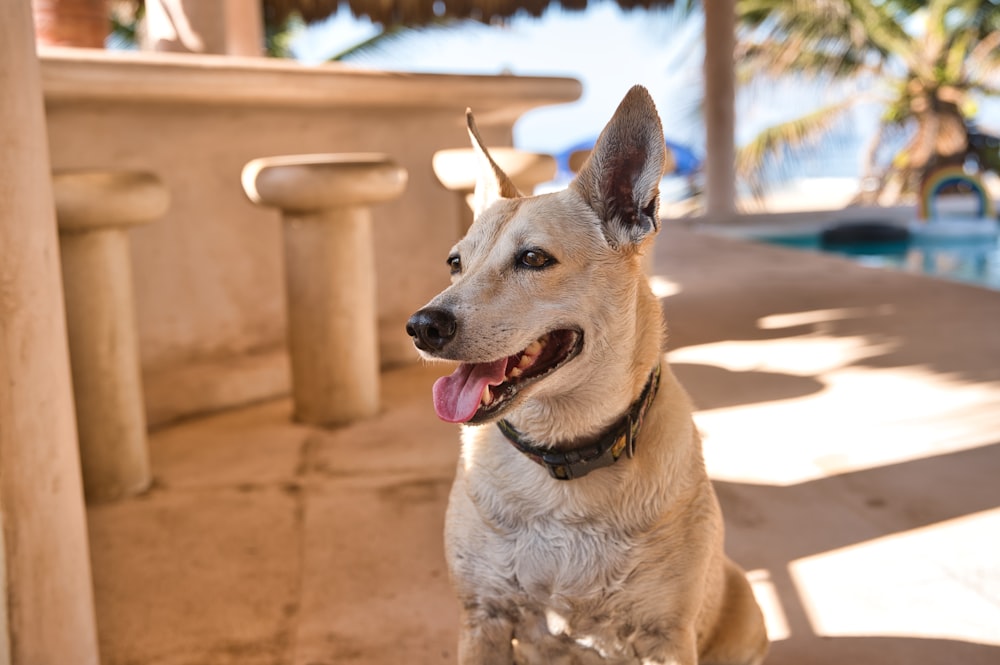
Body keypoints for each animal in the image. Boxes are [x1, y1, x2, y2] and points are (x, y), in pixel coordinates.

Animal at [404, 85, 764, 660]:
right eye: (455, 263)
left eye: (533, 258)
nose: (421, 326)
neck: (562, 459)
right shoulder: (483, 616)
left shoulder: (664, 637)